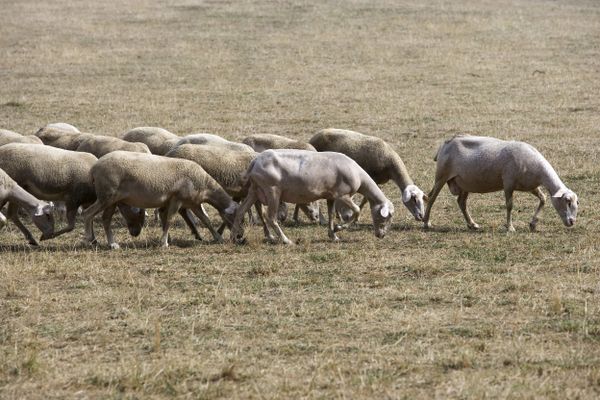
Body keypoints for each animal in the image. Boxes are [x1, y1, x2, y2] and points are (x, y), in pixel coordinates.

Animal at [0, 144, 144, 244]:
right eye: (138, 213)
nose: (136, 233)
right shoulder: (73, 199)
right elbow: (71, 226)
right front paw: (47, 236)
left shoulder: (86, 201)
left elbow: (89, 218)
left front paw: (93, 239)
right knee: (11, 214)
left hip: (16, 190)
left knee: (12, 215)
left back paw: (31, 239)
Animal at [82, 152, 241, 248]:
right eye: (236, 217)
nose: (240, 235)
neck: (204, 183)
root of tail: (94, 169)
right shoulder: (177, 199)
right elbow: (170, 220)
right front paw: (164, 243)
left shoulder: (193, 203)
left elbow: (206, 220)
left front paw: (218, 238)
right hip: (106, 196)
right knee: (88, 213)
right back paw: (90, 240)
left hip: (112, 200)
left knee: (105, 219)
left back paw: (112, 244)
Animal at [232, 149, 396, 244]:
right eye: (387, 216)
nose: (381, 235)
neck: (359, 176)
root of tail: (255, 162)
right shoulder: (342, 195)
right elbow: (356, 211)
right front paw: (339, 228)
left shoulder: (331, 196)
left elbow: (331, 214)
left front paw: (333, 235)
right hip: (272, 191)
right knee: (270, 217)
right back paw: (285, 240)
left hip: (255, 190)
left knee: (240, 211)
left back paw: (235, 238)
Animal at [424, 134, 580, 231]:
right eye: (567, 201)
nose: (572, 222)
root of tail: (446, 143)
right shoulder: (508, 183)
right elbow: (510, 205)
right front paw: (510, 227)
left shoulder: (530, 186)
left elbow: (543, 198)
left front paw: (533, 224)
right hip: (441, 176)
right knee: (431, 198)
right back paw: (426, 223)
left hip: (464, 182)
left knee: (461, 202)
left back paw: (472, 224)